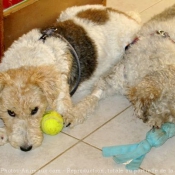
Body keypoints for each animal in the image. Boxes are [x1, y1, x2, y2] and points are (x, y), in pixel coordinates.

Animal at [0, 4, 140, 151]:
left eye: (35, 110)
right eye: (10, 112)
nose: (26, 147)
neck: (29, 61)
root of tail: (131, 19)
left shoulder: (61, 102)